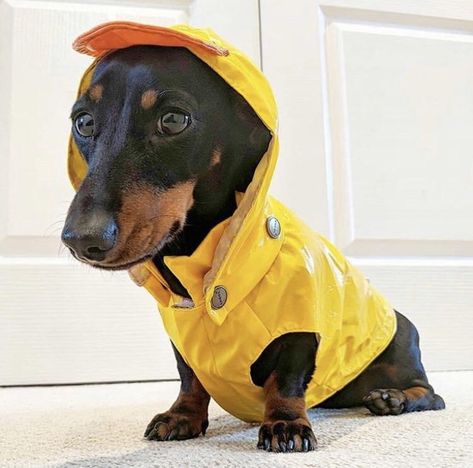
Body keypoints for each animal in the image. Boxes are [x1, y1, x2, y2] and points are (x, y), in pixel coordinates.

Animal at [61, 22, 442, 454]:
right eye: (83, 122)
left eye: (173, 119)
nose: (81, 239)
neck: (202, 275)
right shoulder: (182, 335)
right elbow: (190, 377)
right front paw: (182, 416)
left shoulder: (299, 324)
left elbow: (286, 380)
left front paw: (286, 424)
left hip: (402, 346)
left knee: (431, 394)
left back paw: (392, 398)